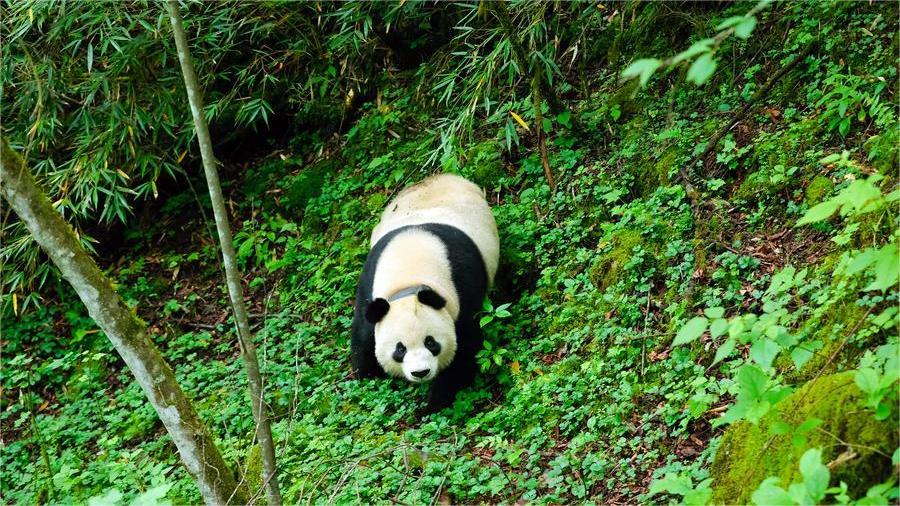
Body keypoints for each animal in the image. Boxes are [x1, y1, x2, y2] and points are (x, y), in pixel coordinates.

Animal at [351, 173, 499, 412]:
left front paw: (431, 406)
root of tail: (444, 176)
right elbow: (364, 336)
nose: (420, 373)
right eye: (400, 349)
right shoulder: (370, 285)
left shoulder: (462, 290)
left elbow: (464, 349)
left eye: (431, 342)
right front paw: (367, 380)